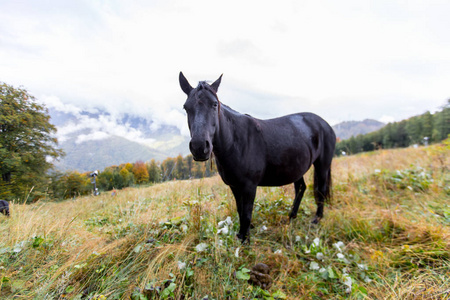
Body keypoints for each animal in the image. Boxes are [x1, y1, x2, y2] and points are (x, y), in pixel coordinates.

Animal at [178, 72, 334, 241]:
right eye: (186, 107)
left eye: (214, 104)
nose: (199, 147)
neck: (236, 142)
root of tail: (324, 124)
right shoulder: (234, 186)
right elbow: (240, 210)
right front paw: (243, 232)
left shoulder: (249, 186)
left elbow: (246, 212)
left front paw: (244, 238)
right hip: (296, 168)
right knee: (300, 187)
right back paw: (291, 216)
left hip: (322, 165)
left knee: (320, 189)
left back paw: (317, 218)